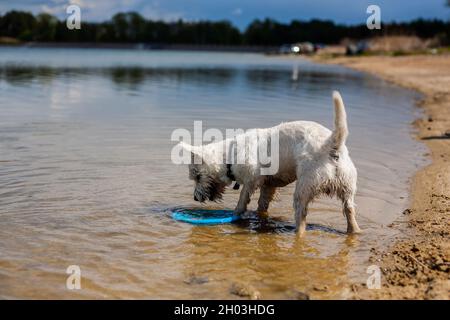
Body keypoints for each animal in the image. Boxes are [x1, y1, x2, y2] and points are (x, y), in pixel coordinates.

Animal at [179, 91, 362, 236]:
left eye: (197, 177)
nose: (194, 198)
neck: (230, 155)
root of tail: (331, 145)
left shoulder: (251, 182)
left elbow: (241, 202)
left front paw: (236, 215)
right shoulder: (268, 185)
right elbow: (262, 205)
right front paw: (259, 217)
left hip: (304, 188)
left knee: (301, 217)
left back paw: (297, 233)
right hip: (347, 188)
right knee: (349, 211)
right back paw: (354, 232)